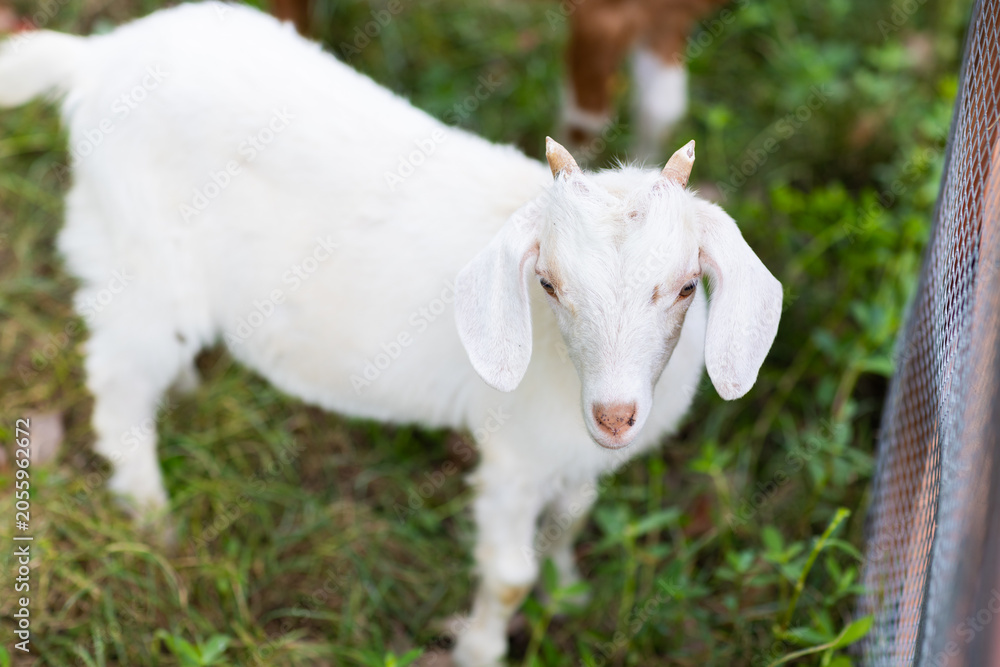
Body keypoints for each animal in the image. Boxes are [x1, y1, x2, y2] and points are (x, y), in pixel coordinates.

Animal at [0, 4, 781, 665]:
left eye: (686, 286)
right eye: (550, 284)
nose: (616, 414)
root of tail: (97, 57)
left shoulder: (572, 455)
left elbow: (572, 516)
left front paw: (568, 592)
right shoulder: (515, 454)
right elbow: (508, 574)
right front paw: (480, 649)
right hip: (140, 259)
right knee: (118, 388)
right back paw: (154, 520)